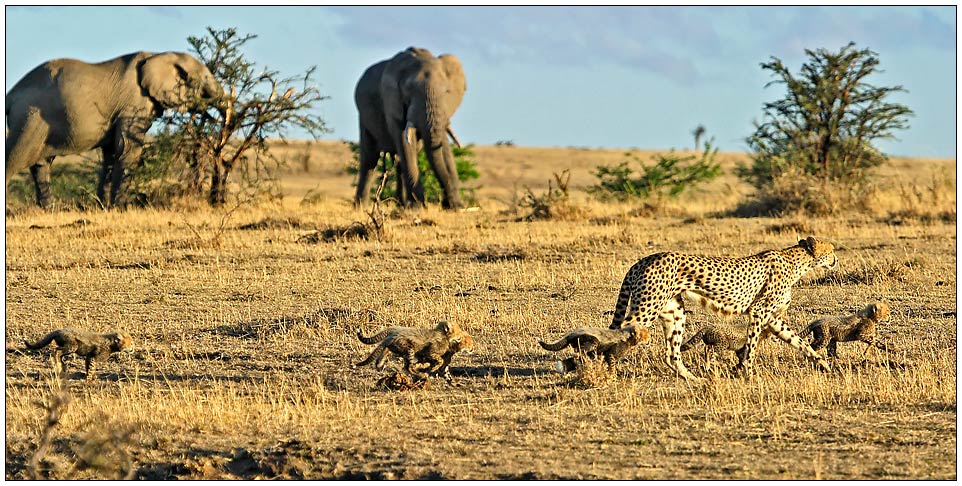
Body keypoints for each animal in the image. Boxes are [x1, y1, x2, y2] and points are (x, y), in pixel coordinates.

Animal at [5, 51, 223, 207]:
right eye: (205, 78)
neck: (160, 54)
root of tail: (11, 93)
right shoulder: (134, 103)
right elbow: (128, 148)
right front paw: (120, 208)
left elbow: (111, 152)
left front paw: (103, 207)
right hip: (30, 118)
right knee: (16, 157)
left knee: (40, 165)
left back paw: (51, 210)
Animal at [356, 46, 468, 211]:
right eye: (409, 93)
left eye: (447, 92)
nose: (448, 204)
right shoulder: (392, 101)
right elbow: (403, 140)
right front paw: (417, 207)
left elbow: (442, 144)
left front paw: (456, 206)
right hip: (364, 117)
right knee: (370, 159)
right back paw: (361, 207)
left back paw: (400, 204)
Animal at [612, 236, 836, 380]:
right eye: (831, 250)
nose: (836, 259)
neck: (797, 262)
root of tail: (643, 260)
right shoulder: (758, 311)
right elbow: (752, 345)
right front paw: (748, 373)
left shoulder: (772, 318)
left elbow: (798, 341)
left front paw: (823, 364)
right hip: (647, 307)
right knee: (622, 331)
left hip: (674, 312)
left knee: (671, 353)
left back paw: (693, 378)